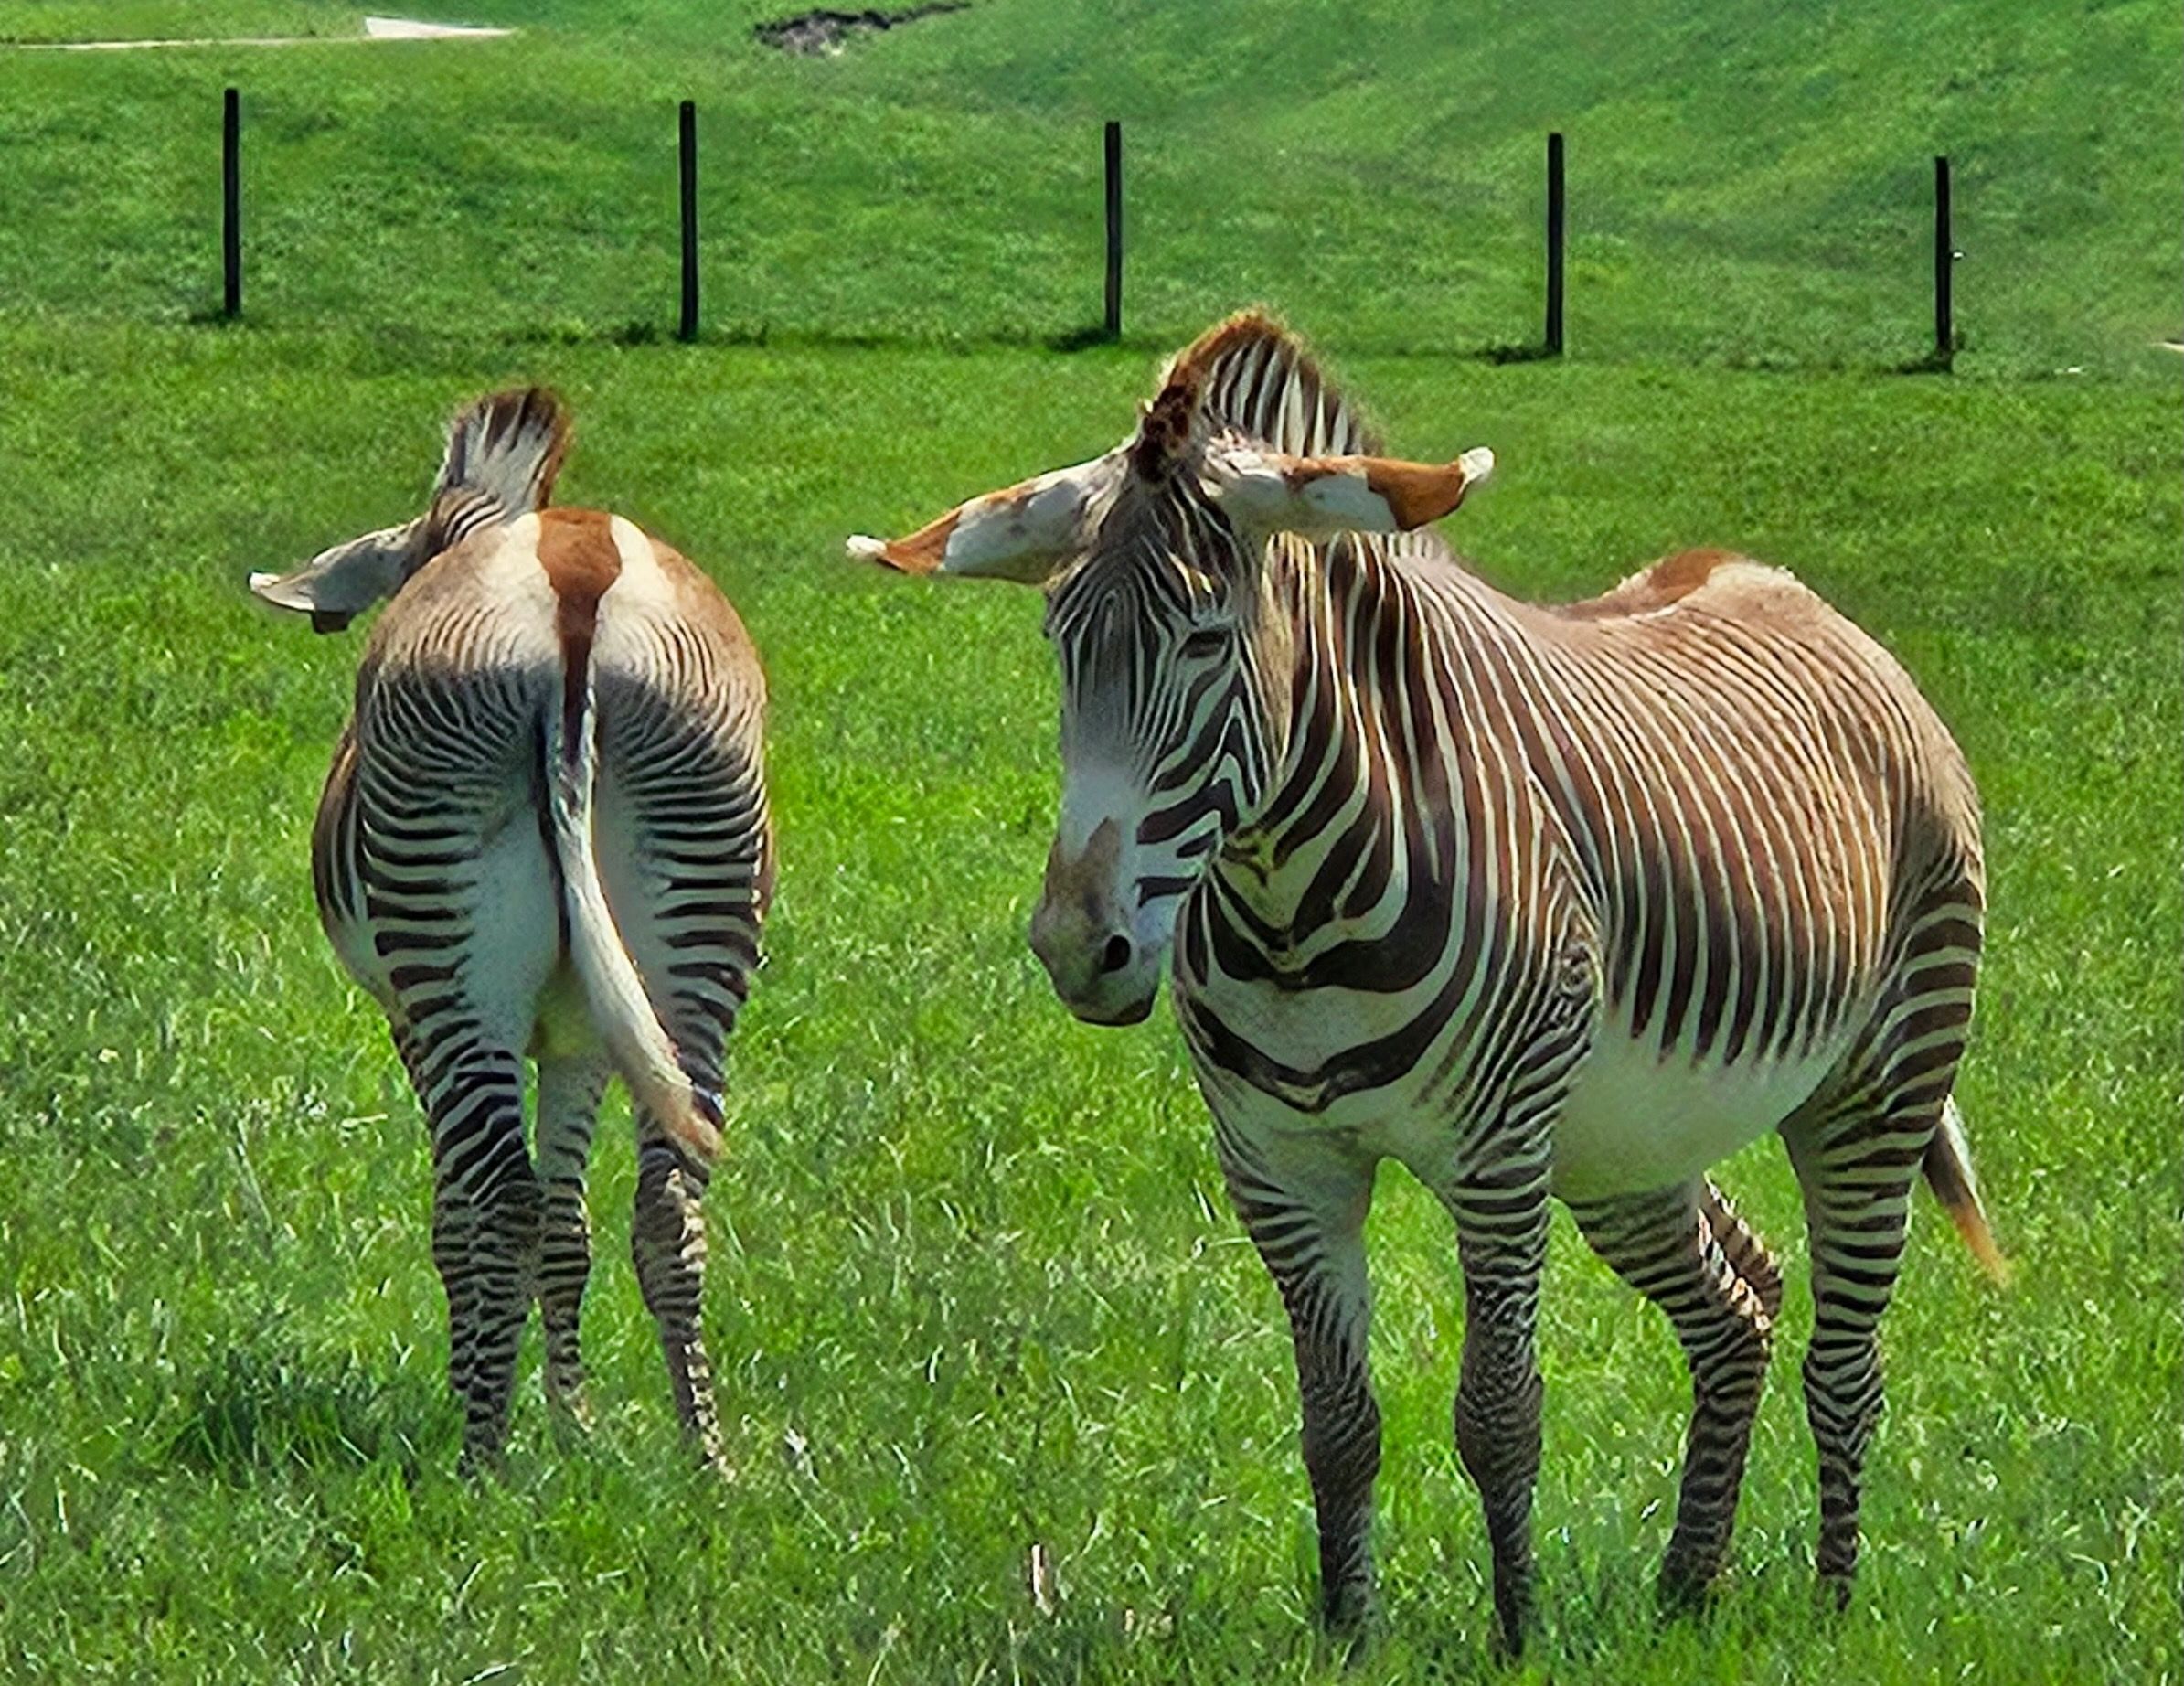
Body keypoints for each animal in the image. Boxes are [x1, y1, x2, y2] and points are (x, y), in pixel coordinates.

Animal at [250, 388, 771, 1469]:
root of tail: (576, 582)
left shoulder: (409, 1019)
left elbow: (460, 1217)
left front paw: (488, 1399)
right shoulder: (585, 1033)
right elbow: (569, 1228)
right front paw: (574, 1426)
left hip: (450, 959)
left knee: (498, 1201)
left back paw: (478, 1461)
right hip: (697, 902)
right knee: (667, 1205)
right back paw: (705, 1459)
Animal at [849, 312, 2003, 1654]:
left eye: (1205, 639)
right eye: (1058, 644)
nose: (1079, 949)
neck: (1293, 910)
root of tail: (1806, 600)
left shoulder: (1496, 1162)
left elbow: (1499, 1416)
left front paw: (1516, 1639)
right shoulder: (1284, 1169)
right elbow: (1337, 1428)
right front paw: (1348, 1636)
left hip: (1875, 1086)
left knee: (1847, 1361)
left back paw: (1829, 1602)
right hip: (1624, 1142)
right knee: (1740, 1300)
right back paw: (1688, 1583)